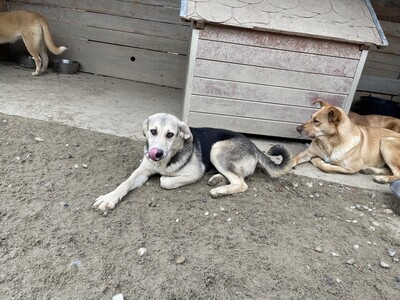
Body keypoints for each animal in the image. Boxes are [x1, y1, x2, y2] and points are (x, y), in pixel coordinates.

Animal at [94, 113, 294, 211]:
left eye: (170, 134)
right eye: (153, 131)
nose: (156, 154)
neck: (165, 161)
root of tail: (254, 145)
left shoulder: (194, 173)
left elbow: (164, 181)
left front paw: (164, 177)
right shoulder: (142, 170)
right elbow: (125, 183)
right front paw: (110, 197)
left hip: (217, 149)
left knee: (241, 183)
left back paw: (219, 190)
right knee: (236, 178)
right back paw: (217, 180)